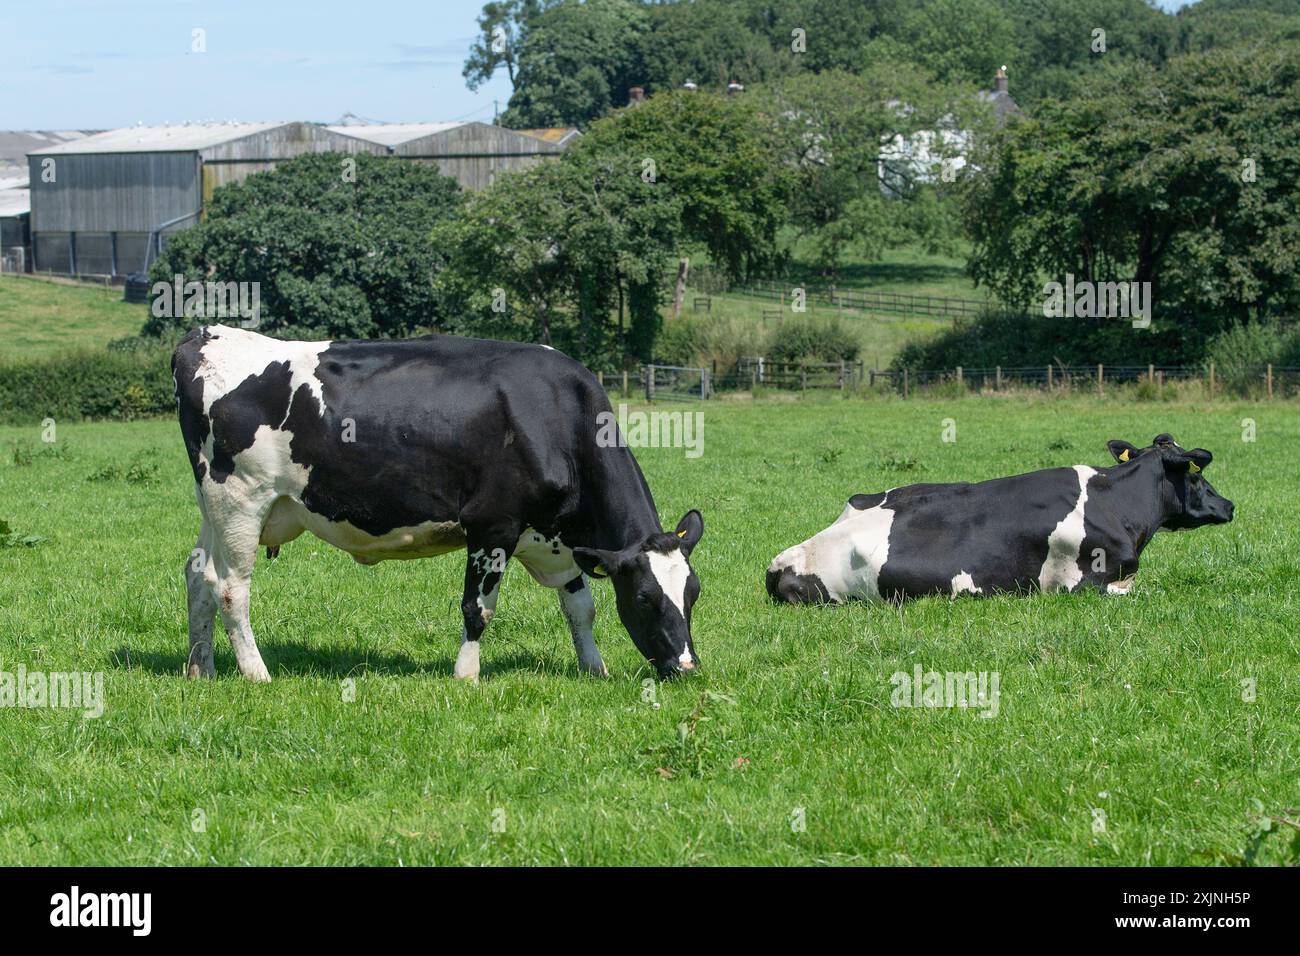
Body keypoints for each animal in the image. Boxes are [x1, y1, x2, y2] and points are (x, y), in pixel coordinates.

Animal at [172, 325, 704, 682]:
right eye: (645, 597)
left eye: (693, 593)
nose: (687, 666)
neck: (554, 415)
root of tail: (207, 335)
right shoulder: (493, 525)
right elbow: (478, 609)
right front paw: (466, 676)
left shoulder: (555, 536)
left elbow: (581, 608)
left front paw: (595, 668)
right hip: (241, 500)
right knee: (229, 588)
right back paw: (256, 673)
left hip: (213, 508)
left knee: (197, 573)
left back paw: (202, 668)